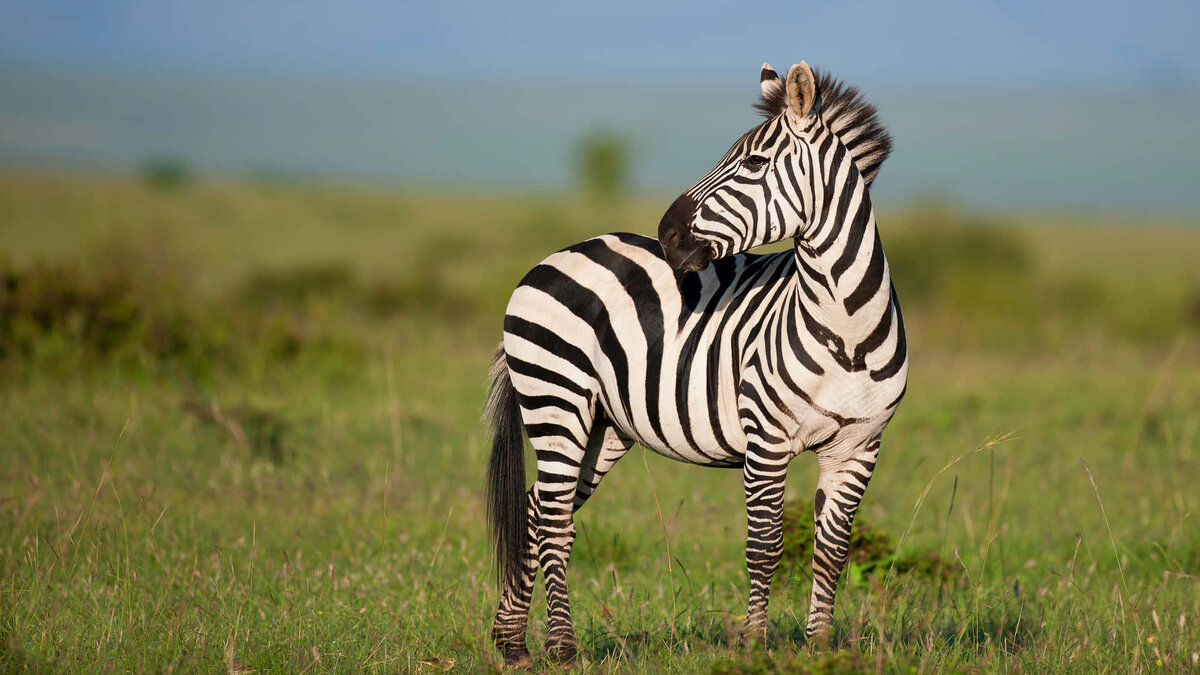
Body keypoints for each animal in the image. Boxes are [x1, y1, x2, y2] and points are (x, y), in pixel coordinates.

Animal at [485, 61, 907, 667]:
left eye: (753, 163)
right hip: (555, 398)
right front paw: (755, 645)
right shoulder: (766, 439)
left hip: (604, 426)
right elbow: (765, 546)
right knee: (554, 523)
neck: (846, 327)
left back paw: (513, 642)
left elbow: (832, 551)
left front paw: (821, 649)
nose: (666, 235)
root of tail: (553, 256)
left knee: (538, 512)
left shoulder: (860, 445)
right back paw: (561, 647)